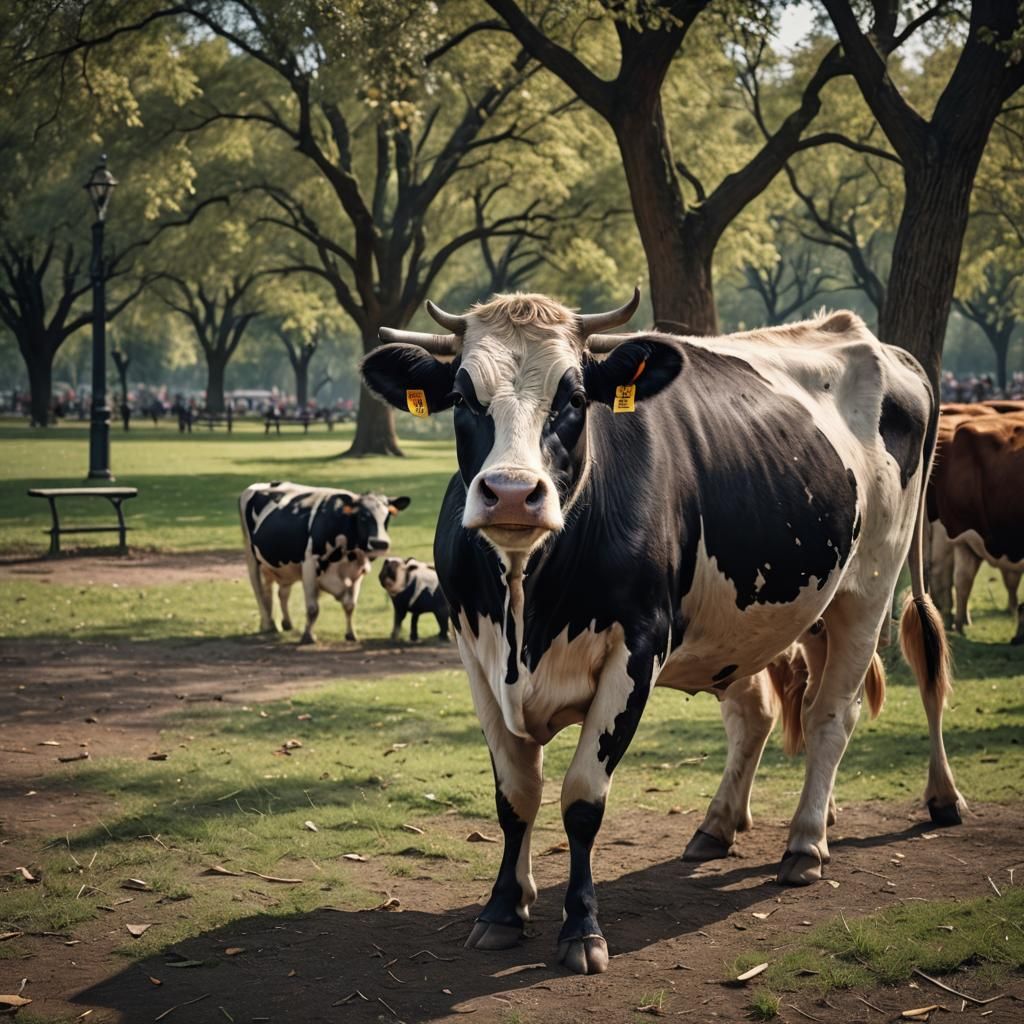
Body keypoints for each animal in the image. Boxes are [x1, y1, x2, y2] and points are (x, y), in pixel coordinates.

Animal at [239, 481, 410, 643]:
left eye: (387, 516)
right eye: (362, 516)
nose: (380, 543)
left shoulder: (357, 571)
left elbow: (350, 606)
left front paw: (351, 634)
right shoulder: (309, 564)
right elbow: (313, 608)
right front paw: (308, 636)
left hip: (279, 566)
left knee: (278, 592)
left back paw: (282, 624)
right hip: (251, 556)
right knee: (259, 591)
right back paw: (268, 625)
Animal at [361, 291, 960, 976]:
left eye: (574, 396)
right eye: (463, 396)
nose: (512, 494)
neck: (526, 613)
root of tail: (865, 337)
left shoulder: (636, 651)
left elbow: (582, 799)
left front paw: (581, 929)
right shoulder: (476, 654)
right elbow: (516, 794)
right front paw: (504, 908)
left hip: (870, 587)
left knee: (833, 714)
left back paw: (814, 840)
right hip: (790, 604)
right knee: (760, 716)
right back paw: (727, 825)